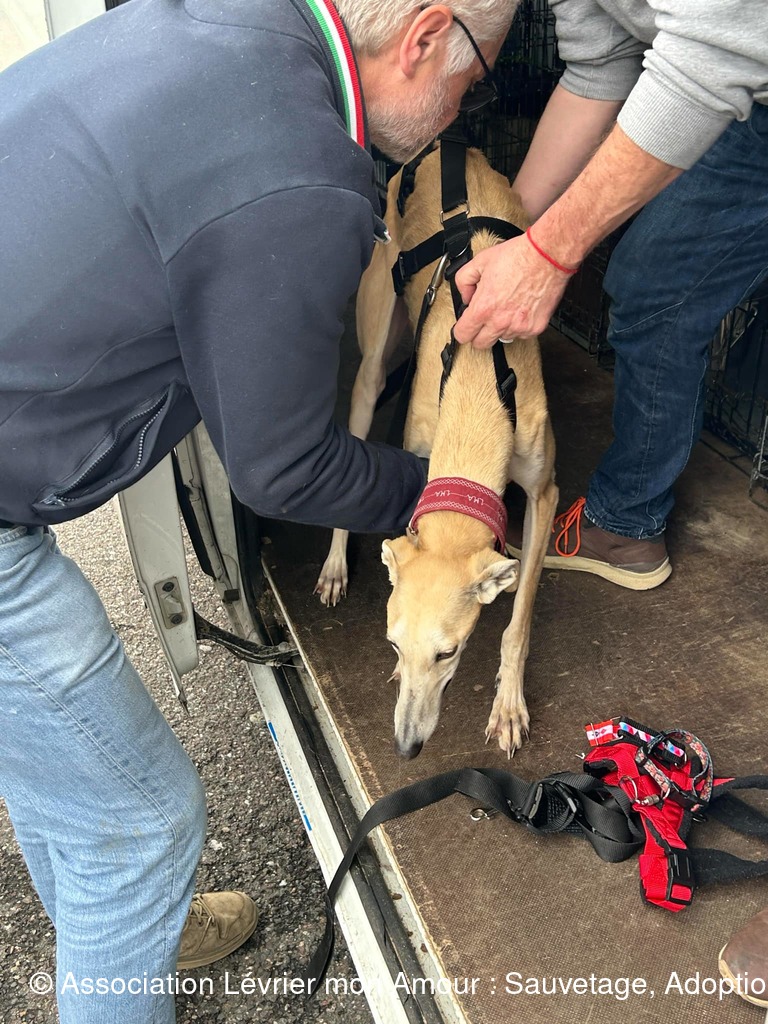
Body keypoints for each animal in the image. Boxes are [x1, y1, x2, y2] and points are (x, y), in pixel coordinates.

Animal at [315, 143, 558, 758]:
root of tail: (439, 148)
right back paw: (334, 565)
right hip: (373, 356)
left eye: (449, 652)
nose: (405, 748)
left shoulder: (545, 494)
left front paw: (508, 704)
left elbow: (520, 618)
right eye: (392, 644)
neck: (478, 379)